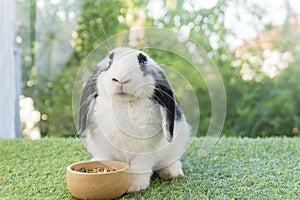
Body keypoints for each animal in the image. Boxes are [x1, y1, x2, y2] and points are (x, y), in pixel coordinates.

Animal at [76, 47, 191, 193]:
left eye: (142, 62)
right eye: (110, 62)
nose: (121, 79)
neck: (124, 104)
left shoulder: (143, 154)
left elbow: (138, 168)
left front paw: (133, 187)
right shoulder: (104, 150)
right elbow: (105, 161)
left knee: (171, 160)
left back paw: (172, 173)